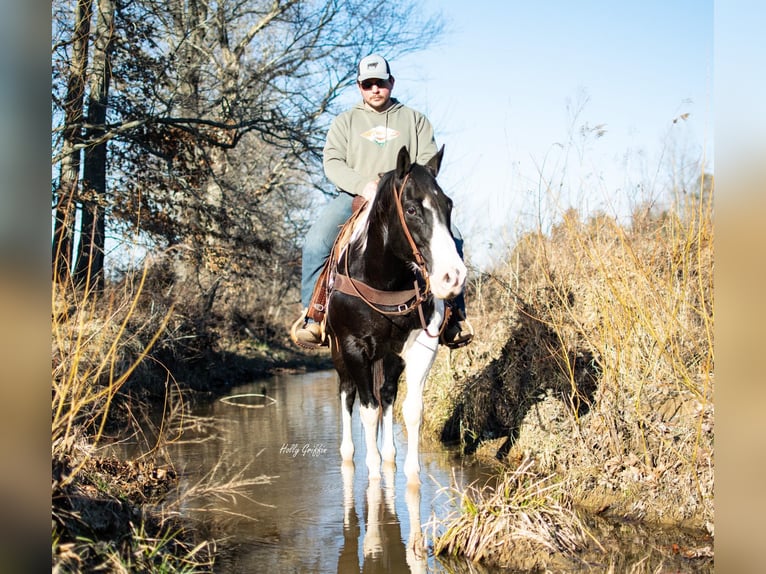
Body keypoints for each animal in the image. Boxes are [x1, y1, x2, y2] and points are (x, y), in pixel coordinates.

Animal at [328, 145, 464, 486]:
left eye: (448, 205)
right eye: (412, 209)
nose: (453, 277)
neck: (384, 281)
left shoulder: (421, 348)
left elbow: (411, 409)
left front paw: (410, 477)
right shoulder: (354, 348)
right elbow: (367, 410)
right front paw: (373, 474)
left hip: (389, 357)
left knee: (387, 395)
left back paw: (389, 455)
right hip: (339, 355)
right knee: (348, 394)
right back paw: (349, 454)